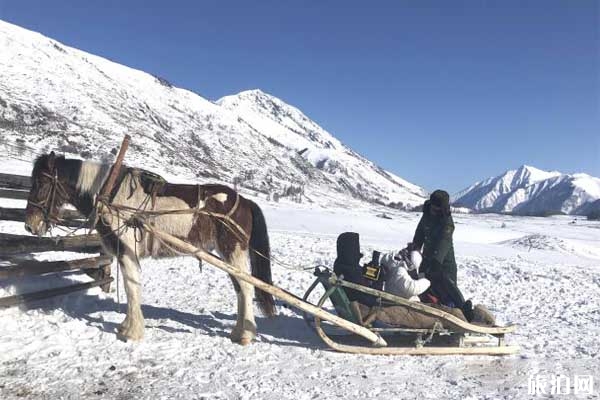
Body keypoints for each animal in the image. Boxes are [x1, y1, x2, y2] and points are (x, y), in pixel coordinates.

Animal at [24, 151, 276, 344]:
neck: (110, 195)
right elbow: (131, 288)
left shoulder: (127, 251)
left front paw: (131, 332)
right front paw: (127, 326)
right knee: (240, 289)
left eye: (42, 183)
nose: (30, 225)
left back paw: (245, 335)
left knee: (246, 287)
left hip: (233, 251)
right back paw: (239, 332)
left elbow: (131, 288)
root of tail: (244, 201)